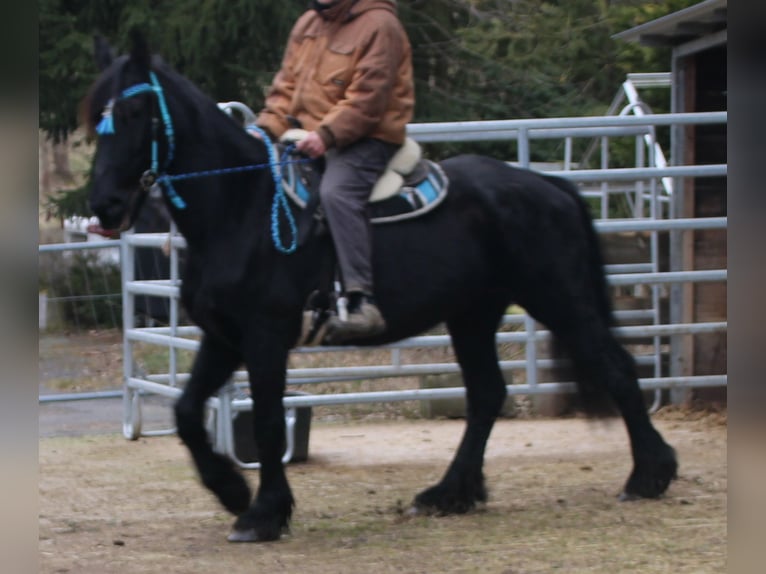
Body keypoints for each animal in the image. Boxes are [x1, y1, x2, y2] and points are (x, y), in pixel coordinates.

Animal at [82, 37, 680, 544]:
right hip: (473, 315)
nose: (105, 206)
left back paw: (649, 476)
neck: (242, 208)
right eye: (95, 120)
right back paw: (449, 494)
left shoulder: (265, 337)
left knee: (616, 370)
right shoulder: (224, 337)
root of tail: (551, 186)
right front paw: (231, 491)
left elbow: (271, 424)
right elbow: (186, 413)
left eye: (134, 114)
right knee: (488, 394)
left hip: (559, 300)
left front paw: (264, 513)